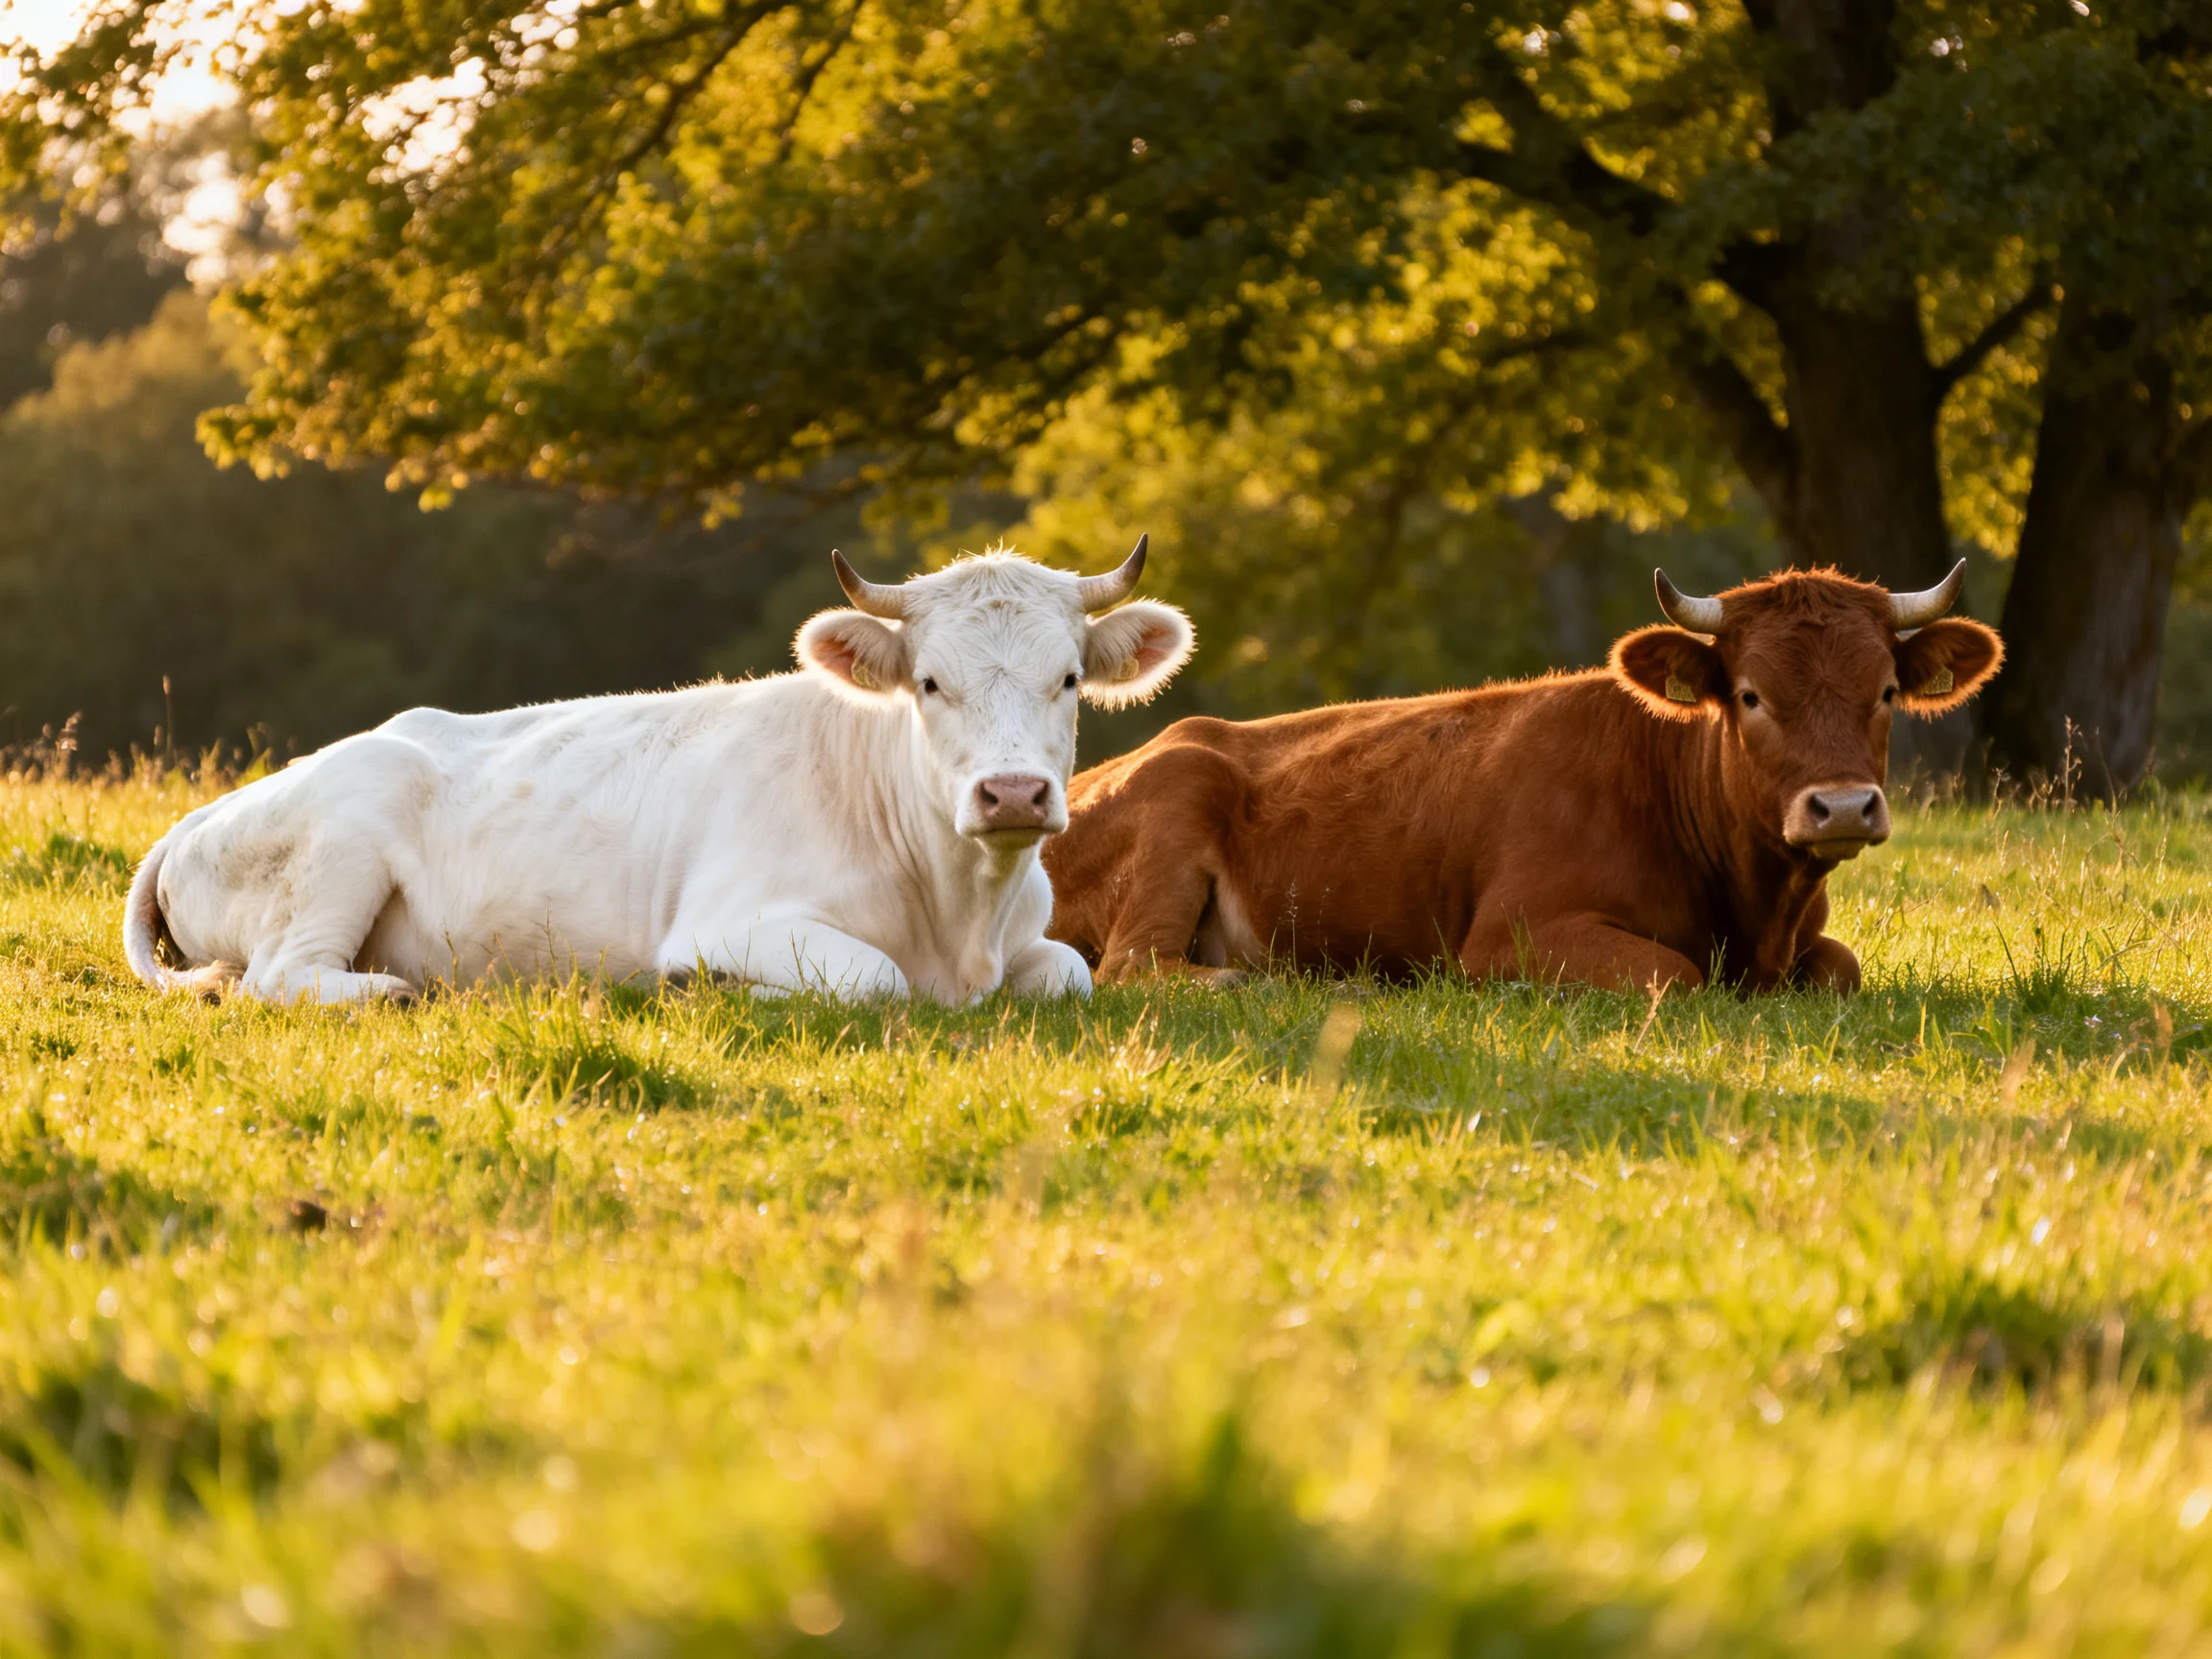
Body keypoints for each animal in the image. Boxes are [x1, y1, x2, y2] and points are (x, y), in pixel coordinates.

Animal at [123, 541, 1194, 1005]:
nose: (1012, 793)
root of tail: (198, 817)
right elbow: (875, 979)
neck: (959, 917)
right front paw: (719, 993)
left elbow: (1069, 975)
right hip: (346, 832)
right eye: (930, 682)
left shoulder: (1038, 950)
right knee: (279, 977)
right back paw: (393, 989)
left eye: (1068, 679)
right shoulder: (732, 918)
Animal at [1043, 563, 2001, 995]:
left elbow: (1841, 965)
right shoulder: (1514, 936)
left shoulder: (1810, 944)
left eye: (1885, 692)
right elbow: (1676, 974)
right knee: (1137, 967)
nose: (1840, 807)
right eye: (1752, 695)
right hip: (1180, 794)